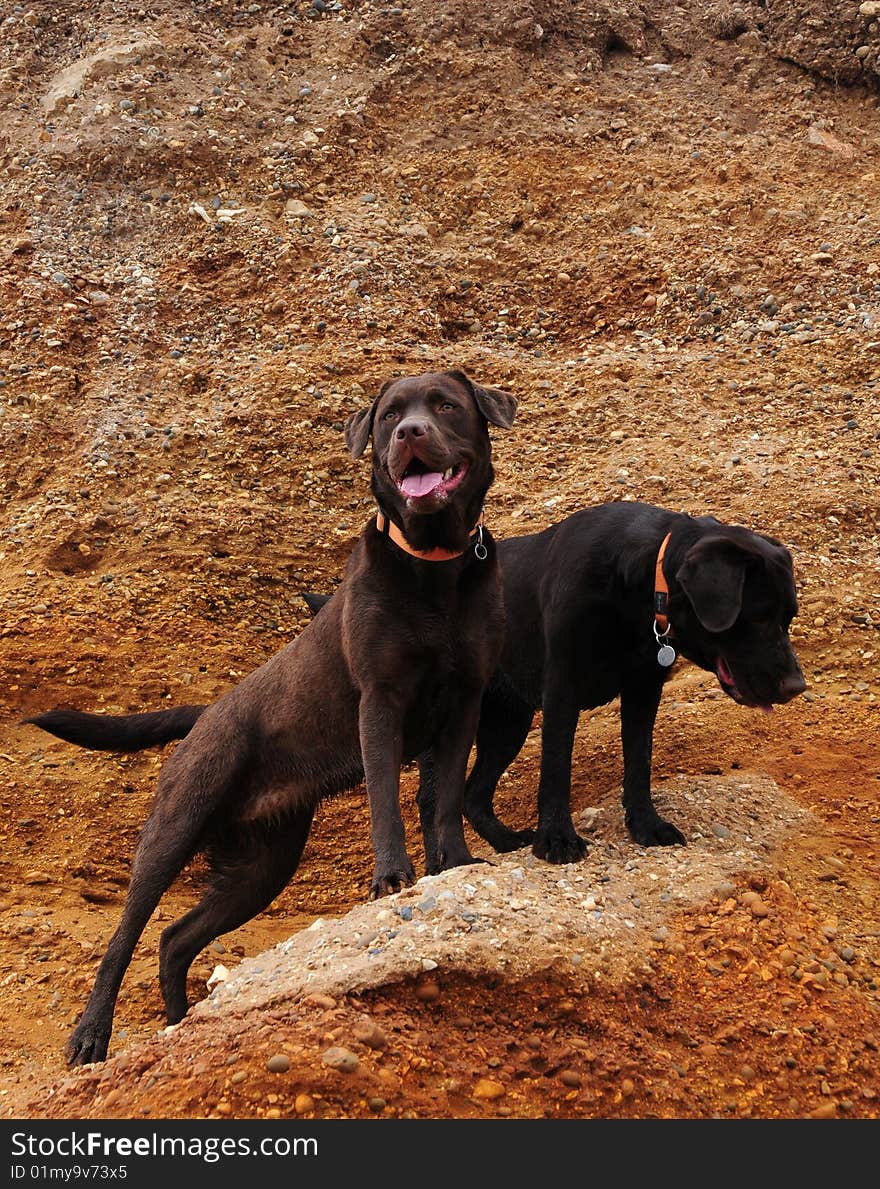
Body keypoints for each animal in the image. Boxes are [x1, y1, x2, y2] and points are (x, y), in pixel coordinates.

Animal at [27, 366, 516, 1065]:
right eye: (390, 415)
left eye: (445, 406)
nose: (409, 433)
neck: (433, 566)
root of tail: (206, 713)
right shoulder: (380, 701)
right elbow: (387, 799)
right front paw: (392, 877)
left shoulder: (464, 704)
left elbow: (444, 797)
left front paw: (454, 864)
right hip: (177, 825)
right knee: (127, 935)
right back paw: (92, 1035)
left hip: (262, 863)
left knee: (175, 939)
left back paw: (179, 1023)